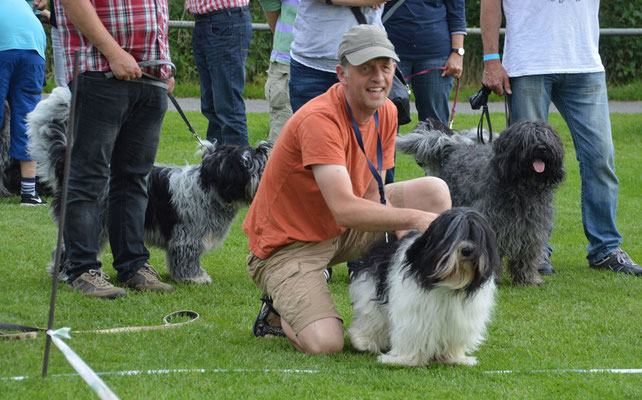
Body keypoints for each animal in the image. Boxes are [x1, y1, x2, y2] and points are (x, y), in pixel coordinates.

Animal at [24, 86, 270, 284]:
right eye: (250, 166)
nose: (266, 177)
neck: (208, 188)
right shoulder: (187, 236)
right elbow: (188, 257)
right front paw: (194, 277)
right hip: (93, 221)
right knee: (68, 249)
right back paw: (67, 274)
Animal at [348, 208, 498, 368]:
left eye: (475, 235)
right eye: (451, 236)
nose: (467, 249)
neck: (449, 282)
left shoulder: (459, 318)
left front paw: (455, 358)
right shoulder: (414, 312)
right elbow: (412, 334)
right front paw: (404, 359)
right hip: (370, 289)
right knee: (371, 317)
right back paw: (363, 341)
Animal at [396, 117, 564, 286]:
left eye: (547, 137)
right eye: (527, 139)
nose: (542, 148)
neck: (520, 188)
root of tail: (451, 147)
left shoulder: (531, 228)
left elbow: (527, 254)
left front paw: (528, 278)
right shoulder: (494, 225)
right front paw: (492, 279)